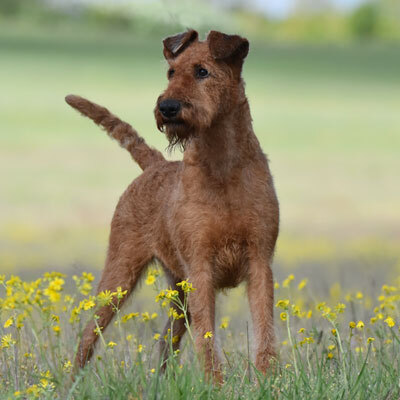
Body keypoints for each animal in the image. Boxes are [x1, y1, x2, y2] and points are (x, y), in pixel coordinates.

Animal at [65, 28, 278, 382]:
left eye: (203, 71)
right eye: (171, 72)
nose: (167, 107)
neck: (222, 167)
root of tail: (156, 164)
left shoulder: (259, 260)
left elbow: (264, 329)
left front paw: (267, 380)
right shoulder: (200, 266)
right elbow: (207, 339)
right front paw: (216, 384)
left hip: (178, 291)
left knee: (166, 340)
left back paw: (161, 383)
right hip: (120, 274)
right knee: (87, 336)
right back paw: (70, 384)